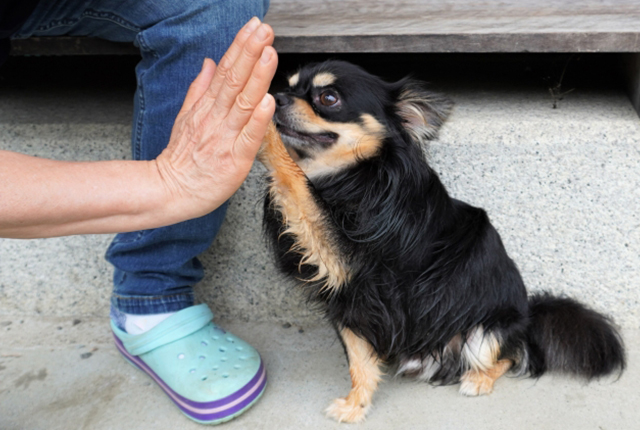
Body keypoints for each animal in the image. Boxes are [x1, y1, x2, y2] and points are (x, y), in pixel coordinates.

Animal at [256, 60, 624, 424]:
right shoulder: (347, 298)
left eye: (328, 98)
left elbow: (294, 179)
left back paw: (478, 379)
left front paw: (261, 124)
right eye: (288, 86)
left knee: (512, 357)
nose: (278, 97)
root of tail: (529, 315)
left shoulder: (348, 258)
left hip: (484, 332)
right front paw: (356, 405)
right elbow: (359, 361)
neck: (352, 176)